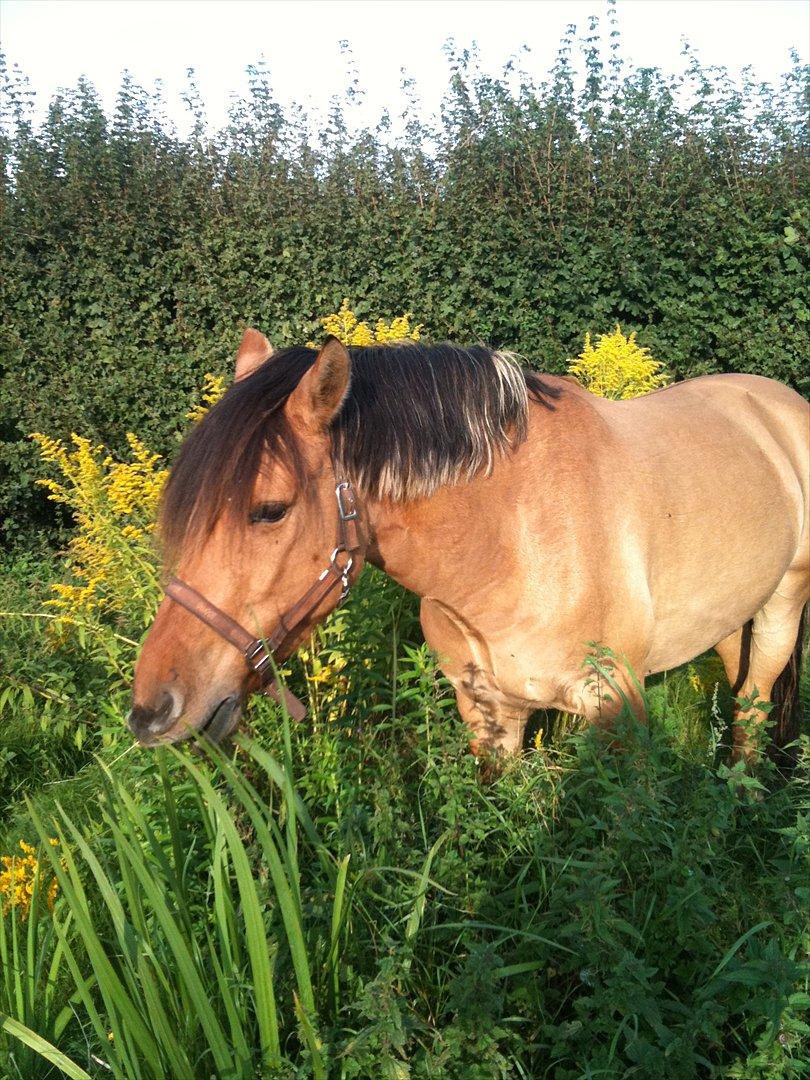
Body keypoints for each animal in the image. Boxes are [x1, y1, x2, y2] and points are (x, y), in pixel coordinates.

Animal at [130, 328, 807, 760]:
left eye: (269, 509)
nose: (151, 710)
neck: (511, 541)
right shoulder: (489, 715)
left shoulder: (620, 713)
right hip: (728, 613)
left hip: (784, 604)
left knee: (753, 705)